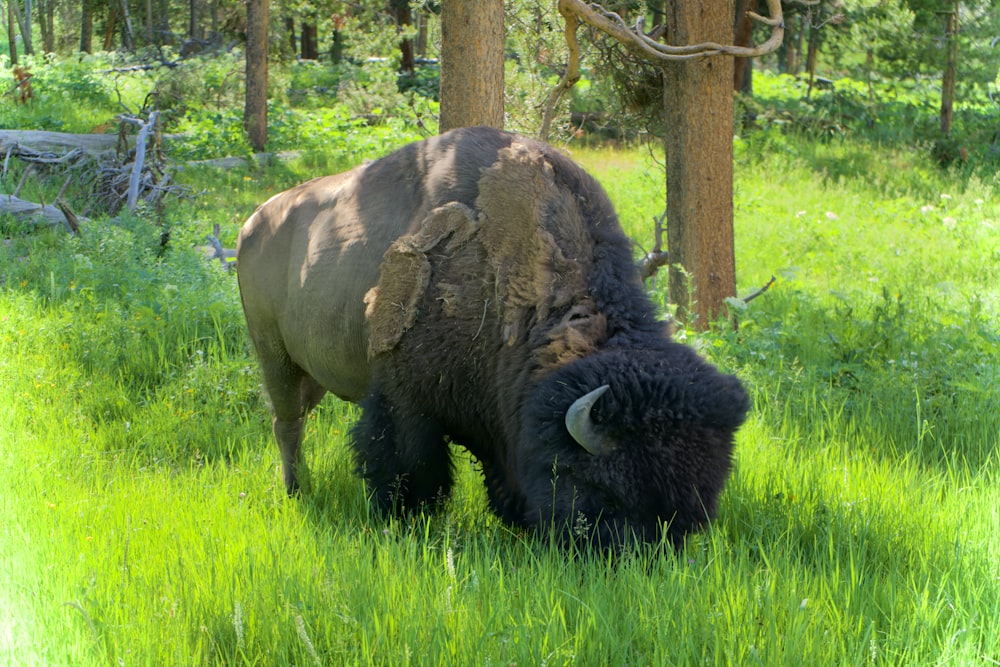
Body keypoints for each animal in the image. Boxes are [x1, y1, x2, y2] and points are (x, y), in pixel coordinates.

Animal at [238, 128, 748, 552]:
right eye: (603, 489)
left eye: (701, 499)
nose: (641, 558)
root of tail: (254, 221)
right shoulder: (403, 400)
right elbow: (408, 465)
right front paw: (404, 520)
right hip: (273, 353)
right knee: (287, 424)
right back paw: (297, 490)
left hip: (313, 372)